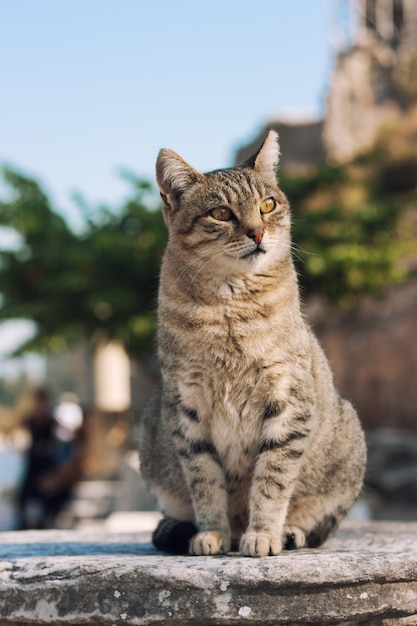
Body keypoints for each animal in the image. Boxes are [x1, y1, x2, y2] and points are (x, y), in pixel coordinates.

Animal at [138, 132, 366, 556]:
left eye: (268, 205)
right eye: (221, 214)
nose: (257, 233)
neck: (230, 307)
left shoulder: (288, 402)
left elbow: (272, 481)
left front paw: (262, 534)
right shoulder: (187, 409)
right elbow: (205, 483)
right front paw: (212, 533)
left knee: (318, 525)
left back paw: (288, 532)